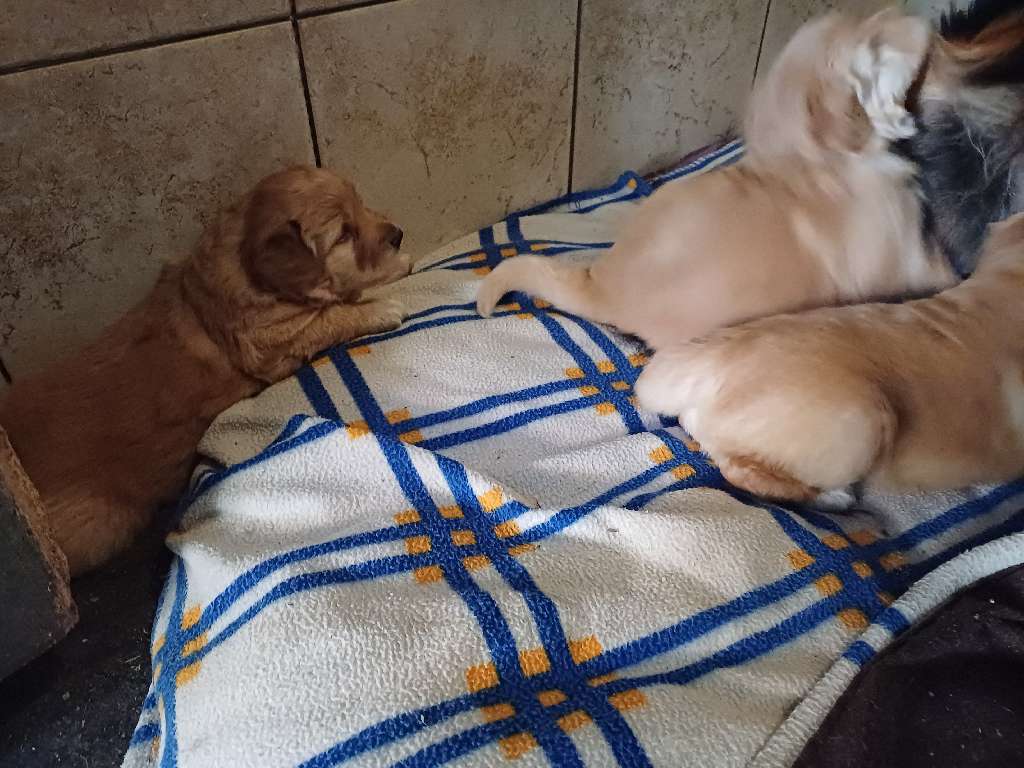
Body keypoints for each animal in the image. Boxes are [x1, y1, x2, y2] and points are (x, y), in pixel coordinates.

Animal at [0, 166, 411, 575]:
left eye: (360, 203)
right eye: (344, 234)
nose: (398, 234)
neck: (246, 272)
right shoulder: (272, 343)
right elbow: (332, 316)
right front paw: (383, 302)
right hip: (101, 522)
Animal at [476, 9, 957, 350]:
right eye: (875, 42)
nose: (919, 17)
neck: (815, 159)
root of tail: (602, 285)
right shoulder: (904, 254)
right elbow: (937, 267)